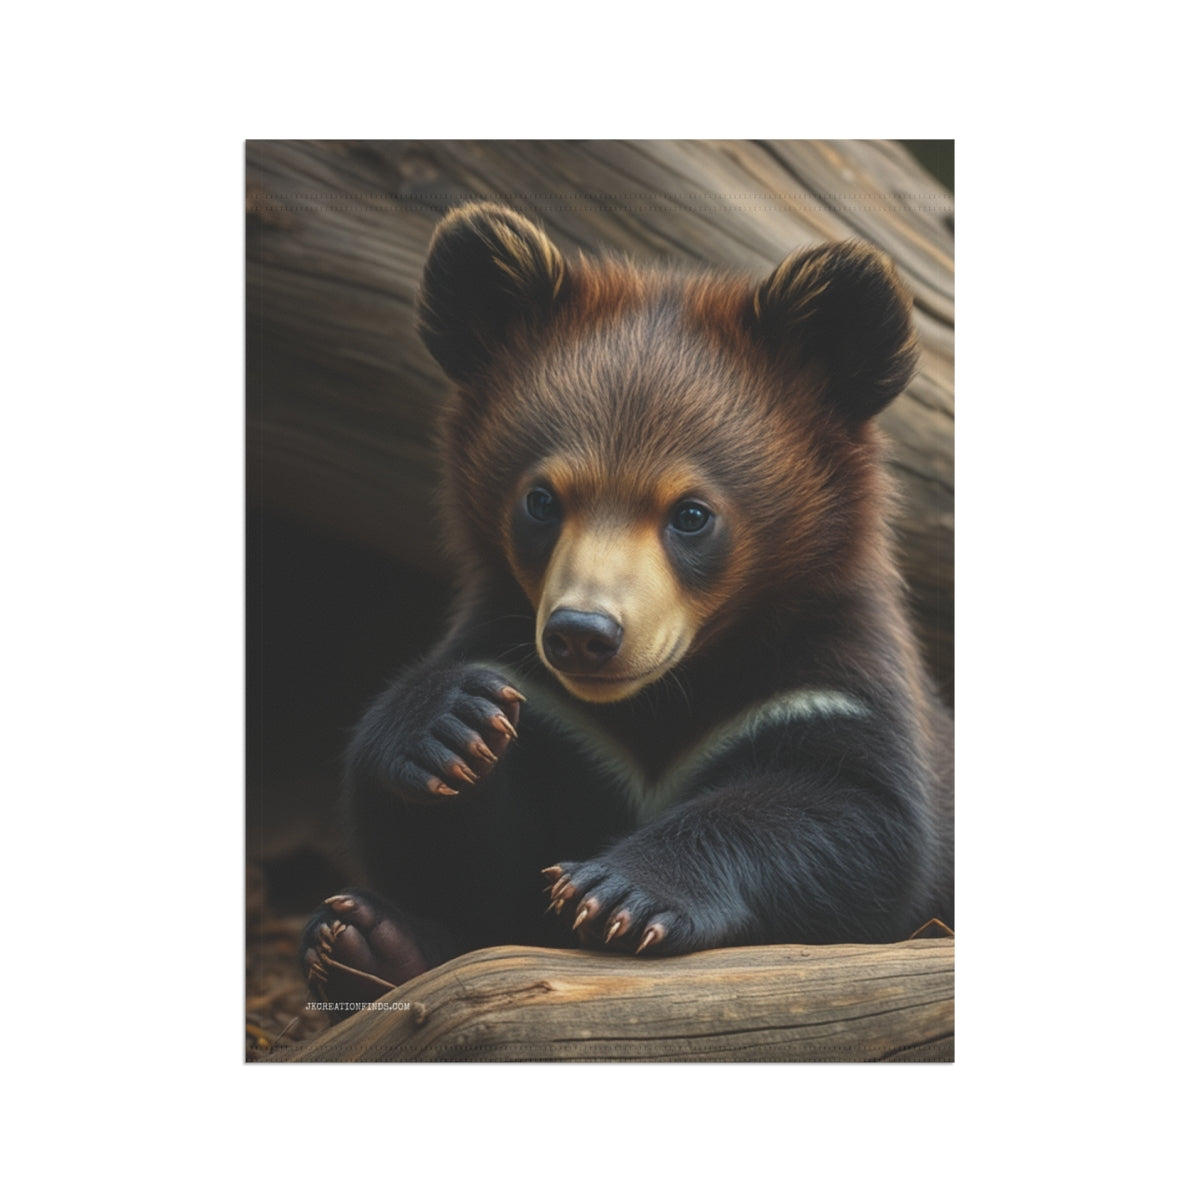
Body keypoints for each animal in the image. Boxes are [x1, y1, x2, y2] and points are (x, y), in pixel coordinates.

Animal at [300, 202, 953, 1005]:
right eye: (541, 500)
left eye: (692, 515)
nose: (583, 633)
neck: (662, 696)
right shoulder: (543, 699)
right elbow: (462, 858)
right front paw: (451, 728)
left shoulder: (823, 683)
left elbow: (858, 819)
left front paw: (618, 893)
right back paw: (359, 938)